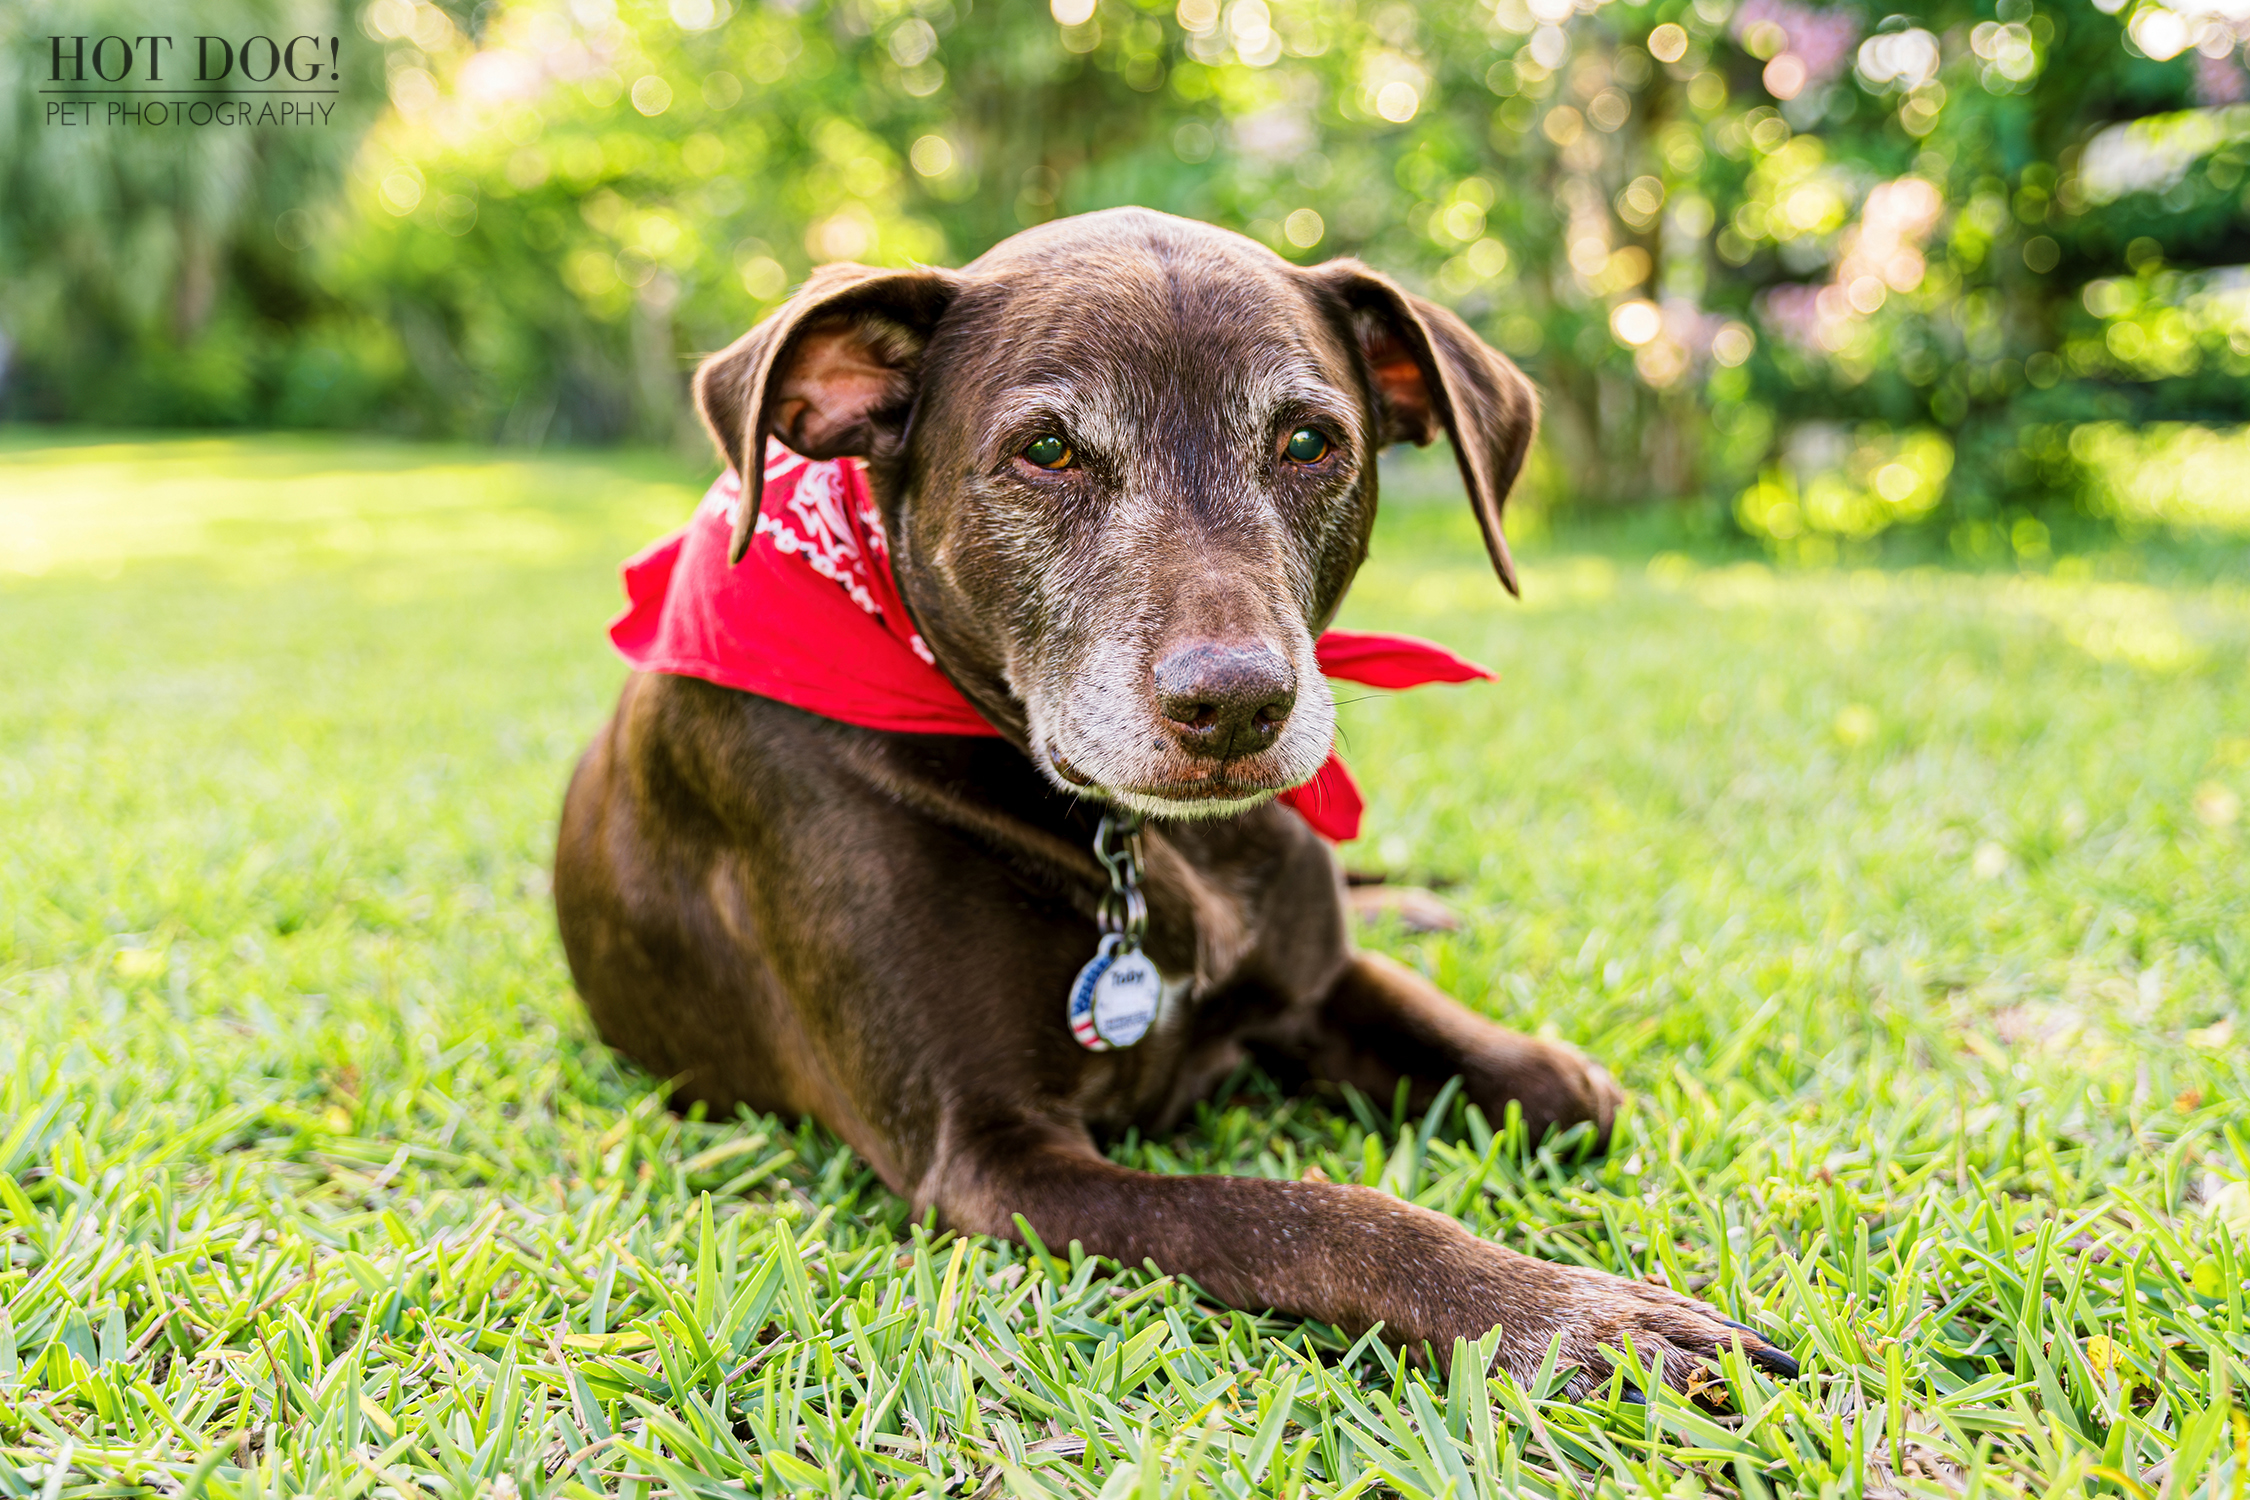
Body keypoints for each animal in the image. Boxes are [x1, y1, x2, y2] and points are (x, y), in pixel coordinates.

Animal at [558, 205, 1791, 1403]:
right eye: (1046, 450)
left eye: (1309, 442)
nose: (1238, 704)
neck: (1138, 842)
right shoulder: (993, 1157)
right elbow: (1314, 1216)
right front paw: (1566, 1316)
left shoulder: (1318, 984)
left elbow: (1562, 1087)